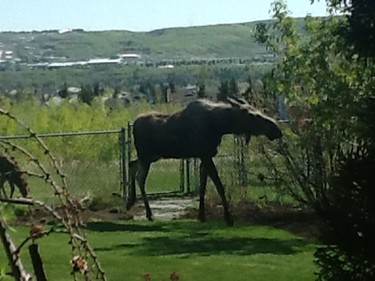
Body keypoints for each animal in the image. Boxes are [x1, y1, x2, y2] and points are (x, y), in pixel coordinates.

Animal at [126, 98, 282, 225]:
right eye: (252, 115)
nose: (276, 128)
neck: (220, 126)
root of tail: (134, 124)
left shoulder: (205, 156)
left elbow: (202, 187)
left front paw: (201, 216)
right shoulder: (206, 155)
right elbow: (219, 186)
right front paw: (228, 218)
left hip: (153, 156)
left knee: (131, 164)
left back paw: (130, 202)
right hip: (146, 156)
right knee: (140, 178)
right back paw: (148, 213)